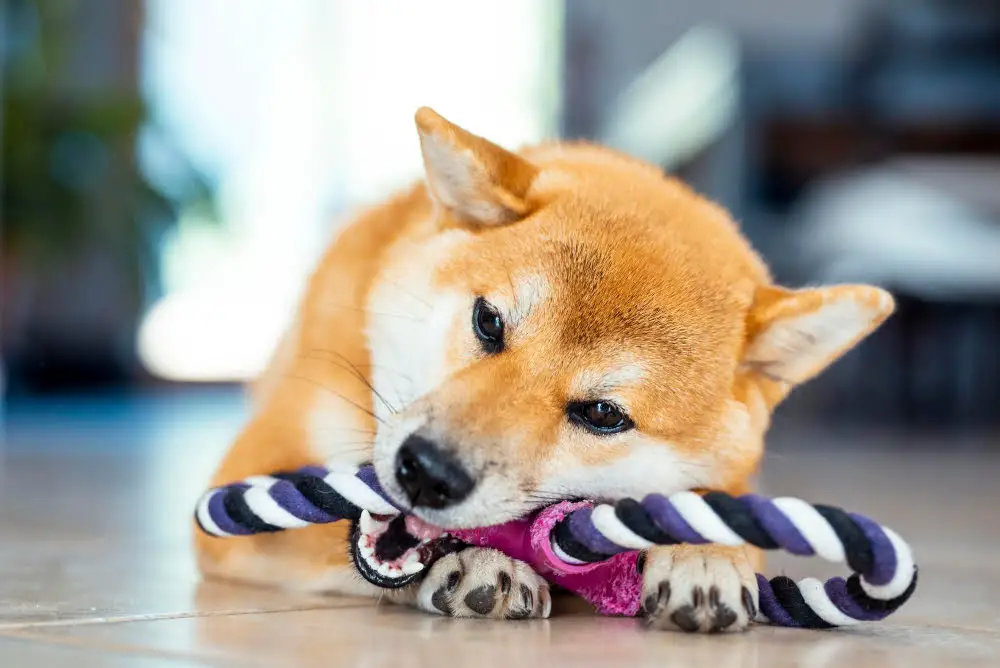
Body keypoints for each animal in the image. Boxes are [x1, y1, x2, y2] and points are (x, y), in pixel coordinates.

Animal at [193, 105, 892, 632]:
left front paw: (706, 553)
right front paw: (479, 564)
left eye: (603, 414)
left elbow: (720, 507)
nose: (428, 473)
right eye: (488, 322)